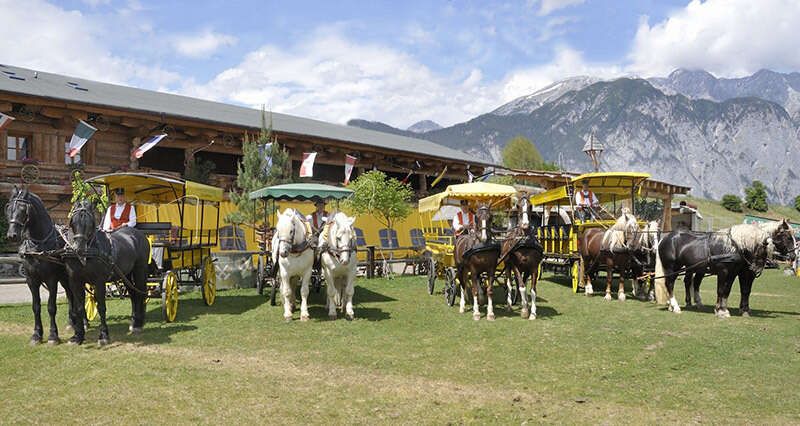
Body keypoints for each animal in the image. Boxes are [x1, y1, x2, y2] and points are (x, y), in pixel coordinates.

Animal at [5, 188, 73, 344]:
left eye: (23, 209)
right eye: (9, 209)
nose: (12, 235)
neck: (38, 246)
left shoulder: (52, 280)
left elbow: (51, 307)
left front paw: (53, 336)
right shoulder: (31, 280)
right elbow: (36, 307)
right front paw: (36, 335)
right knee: (70, 296)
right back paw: (72, 323)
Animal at [65, 201, 150, 346]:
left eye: (90, 223)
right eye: (73, 222)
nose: (79, 249)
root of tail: (137, 234)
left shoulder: (99, 282)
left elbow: (101, 308)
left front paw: (104, 335)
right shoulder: (75, 282)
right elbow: (79, 308)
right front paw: (78, 336)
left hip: (140, 270)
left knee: (140, 293)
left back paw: (138, 323)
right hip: (126, 275)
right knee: (133, 294)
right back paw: (133, 321)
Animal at [652, 223, 796, 316]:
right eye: (788, 237)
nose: (794, 256)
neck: (736, 246)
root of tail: (665, 238)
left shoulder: (734, 273)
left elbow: (730, 290)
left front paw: (727, 309)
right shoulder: (725, 271)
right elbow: (721, 290)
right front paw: (720, 310)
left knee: (689, 282)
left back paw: (676, 305)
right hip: (672, 267)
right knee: (670, 283)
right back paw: (676, 307)